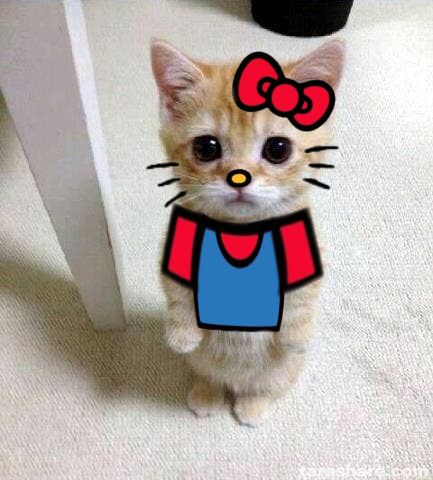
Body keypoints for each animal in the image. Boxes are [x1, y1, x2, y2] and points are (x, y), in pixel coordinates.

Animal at [150, 39, 342, 426]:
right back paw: (207, 393)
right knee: (208, 374)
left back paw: (252, 405)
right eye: (206, 147)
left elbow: (302, 295)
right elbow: (177, 291)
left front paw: (297, 334)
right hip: (203, 365)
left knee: (265, 387)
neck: (241, 234)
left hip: (283, 373)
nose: (239, 178)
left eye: (278, 149)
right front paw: (181, 332)